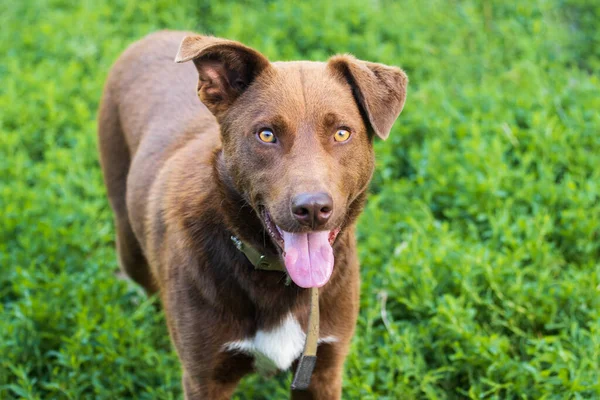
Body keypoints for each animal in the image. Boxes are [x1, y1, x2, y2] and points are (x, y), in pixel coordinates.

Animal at [98, 29, 408, 398]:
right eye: (266, 134)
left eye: (342, 133)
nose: (313, 209)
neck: (276, 275)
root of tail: (155, 34)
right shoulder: (205, 378)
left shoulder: (322, 371)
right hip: (128, 238)